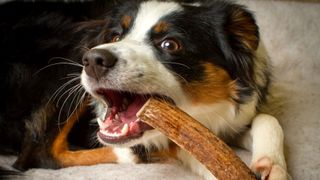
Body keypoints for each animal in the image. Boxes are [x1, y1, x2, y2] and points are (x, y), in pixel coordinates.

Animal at [0, 0, 288, 180]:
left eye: (170, 44)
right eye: (115, 37)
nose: (93, 60)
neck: (202, 114)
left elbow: (267, 119)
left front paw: (271, 165)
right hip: (72, 50)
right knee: (40, 153)